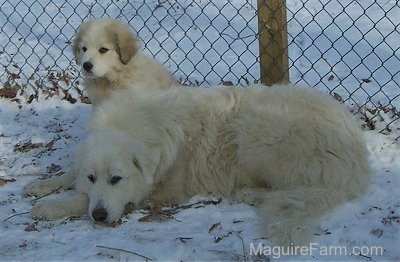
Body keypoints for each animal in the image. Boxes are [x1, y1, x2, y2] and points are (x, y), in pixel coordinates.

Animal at [25, 85, 370, 247]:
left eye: (116, 179)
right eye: (92, 176)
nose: (98, 217)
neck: (142, 124)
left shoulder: (161, 191)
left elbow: (81, 199)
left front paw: (52, 206)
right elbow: (71, 175)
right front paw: (40, 185)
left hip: (254, 130)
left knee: (288, 188)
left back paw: (247, 193)